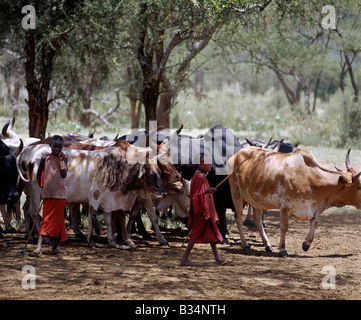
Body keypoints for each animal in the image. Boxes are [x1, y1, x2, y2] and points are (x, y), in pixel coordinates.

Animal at [228, 148, 360, 258]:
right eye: (359, 187)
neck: (309, 178)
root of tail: (236, 154)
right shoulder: (285, 206)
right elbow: (284, 227)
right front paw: (283, 250)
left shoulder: (311, 209)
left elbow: (315, 222)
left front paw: (306, 244)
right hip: (236, 193)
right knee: (238, 217)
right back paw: (246, 245)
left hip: (256, 199)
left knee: (258, 220)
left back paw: (268, 246)